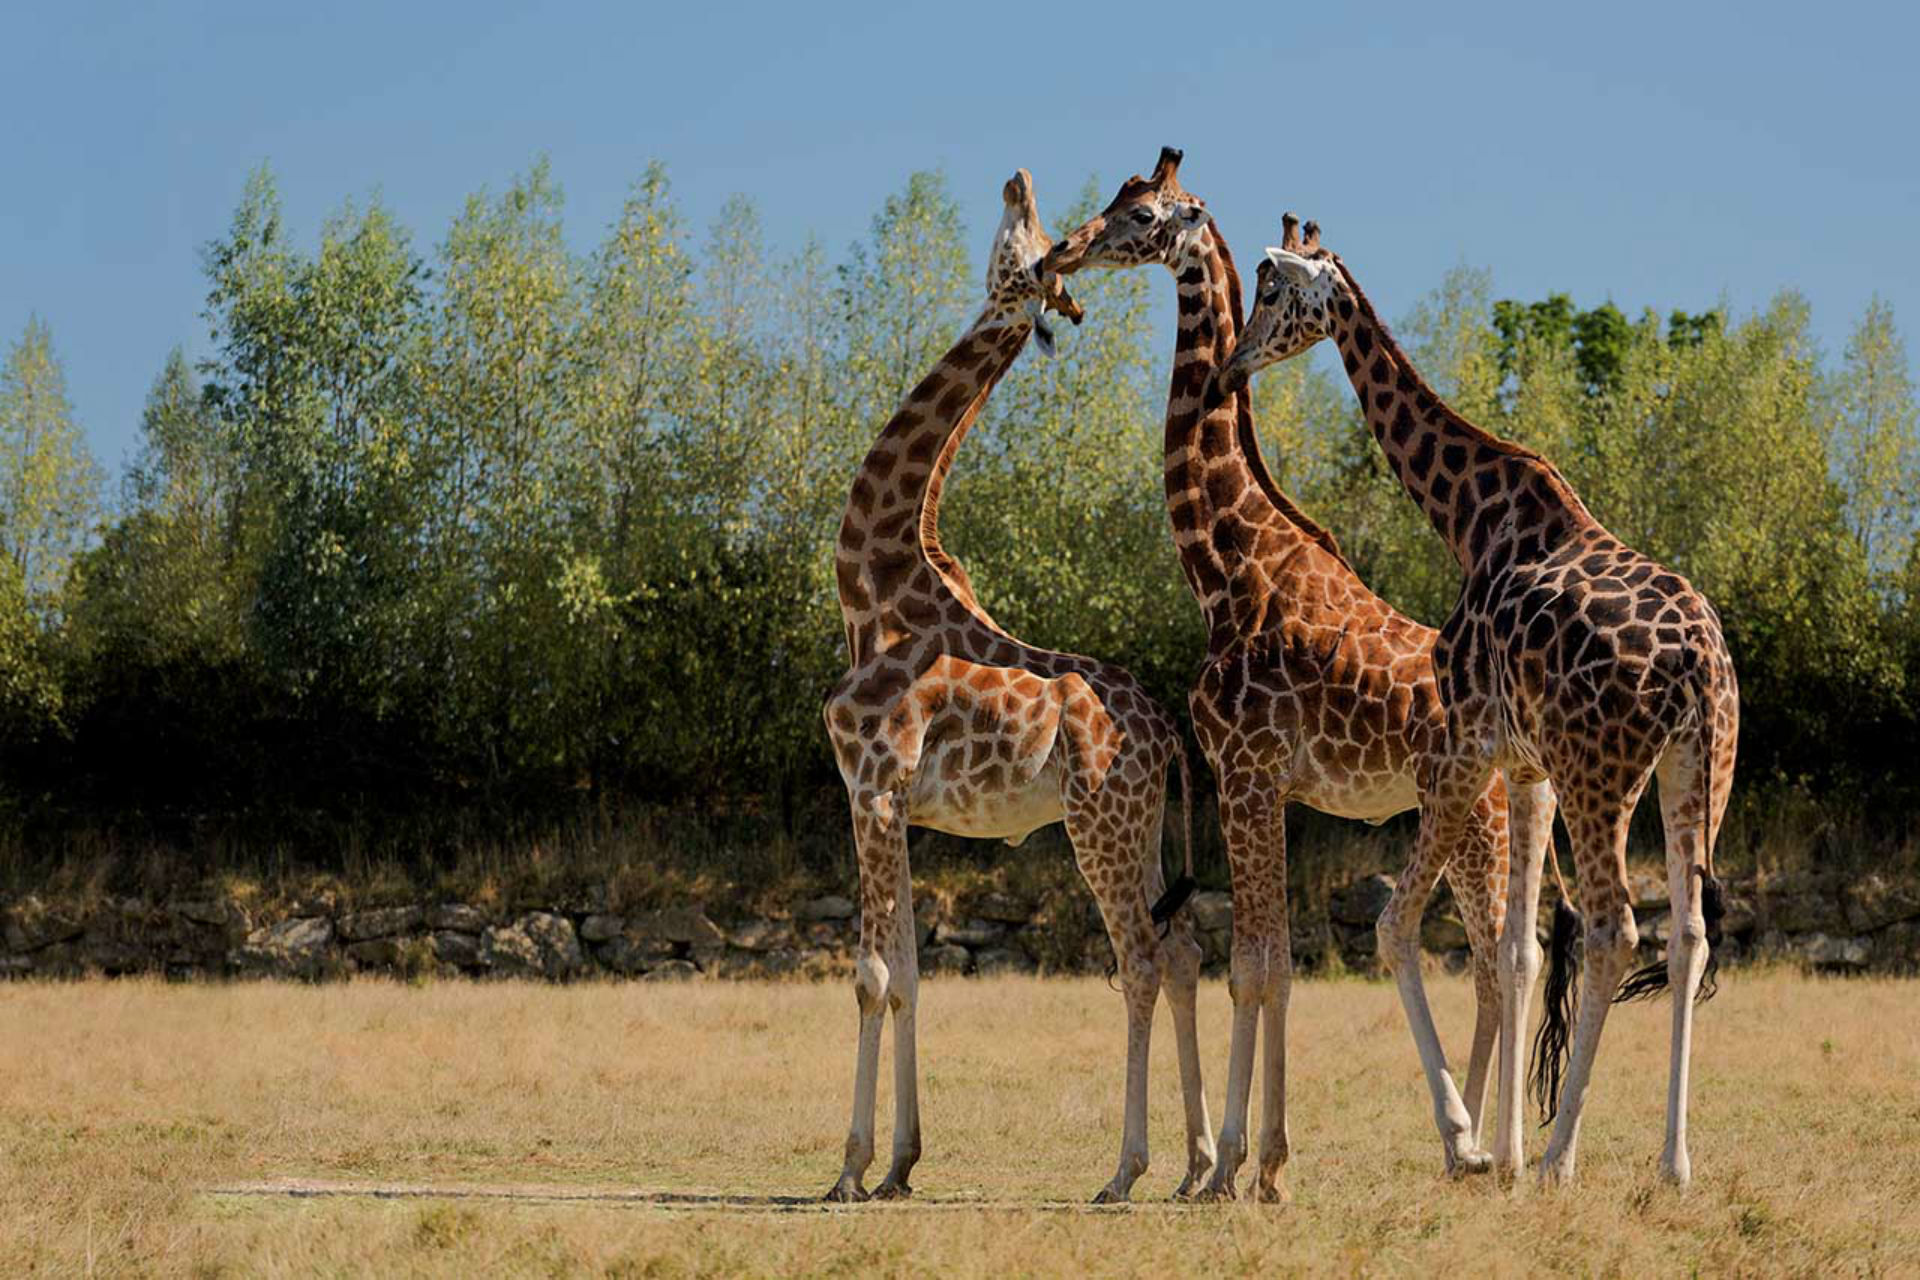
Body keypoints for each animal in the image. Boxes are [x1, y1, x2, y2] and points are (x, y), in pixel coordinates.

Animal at [825, 167, 1213, 1205]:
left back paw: (1127, 1170)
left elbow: (871, 974)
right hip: (1141, 827)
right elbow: (912, 973)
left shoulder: (871, 786)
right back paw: (1199, 1165)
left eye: (1026, 246)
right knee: (1187, 948)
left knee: (1142, 959)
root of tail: (1169, 734)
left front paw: (849, 1169)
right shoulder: (893, 805)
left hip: (1097, 824)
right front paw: (901, 1166)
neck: (875, 588)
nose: (1019, 179)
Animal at [1044, 150, 1551, 1205]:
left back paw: (1473, 1142)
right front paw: (1262, 1164)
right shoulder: (1270, 785)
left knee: (1491, 957)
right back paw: (1476, 1146)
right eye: (1112, 200)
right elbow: (1273, 960)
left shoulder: (1244, 772)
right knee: (1498, 959)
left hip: (1475, 820)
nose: (1062, 253)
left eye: (1140, 215)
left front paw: (1235, 1165)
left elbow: (1255, 966)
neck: (1226, 566)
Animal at [1213, 214, 1743, 1189]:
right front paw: (1501, 1155)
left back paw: (1566, 1156)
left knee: (1616, 928)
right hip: (1699, 764)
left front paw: (1475, 1143)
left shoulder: (1465, 745)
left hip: (1603, 773)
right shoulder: (1526, 767)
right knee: (1688, 933)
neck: (1471, 518)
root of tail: (1695, 661)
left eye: (1270, 288)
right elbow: (1515, 948)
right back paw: (1672, 1164)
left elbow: (1396, 927)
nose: (1234, 366)